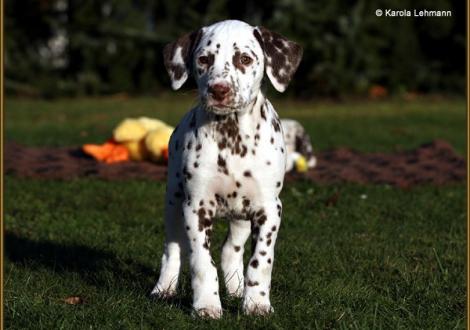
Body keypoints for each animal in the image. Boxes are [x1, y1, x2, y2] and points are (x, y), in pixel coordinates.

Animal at [151, 19, 302, 318]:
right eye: (204, 59)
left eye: (244, 59)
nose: (218, 90)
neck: (232, 136)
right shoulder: (196, 208)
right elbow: (201, 262)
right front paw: (207, 305)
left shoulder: (269, 209)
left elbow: (260, 261)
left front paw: (256, 303)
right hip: (173, 202)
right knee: (172, 250)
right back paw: (164, 288)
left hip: (241, 215)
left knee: (231, 250)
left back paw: (236, 288)